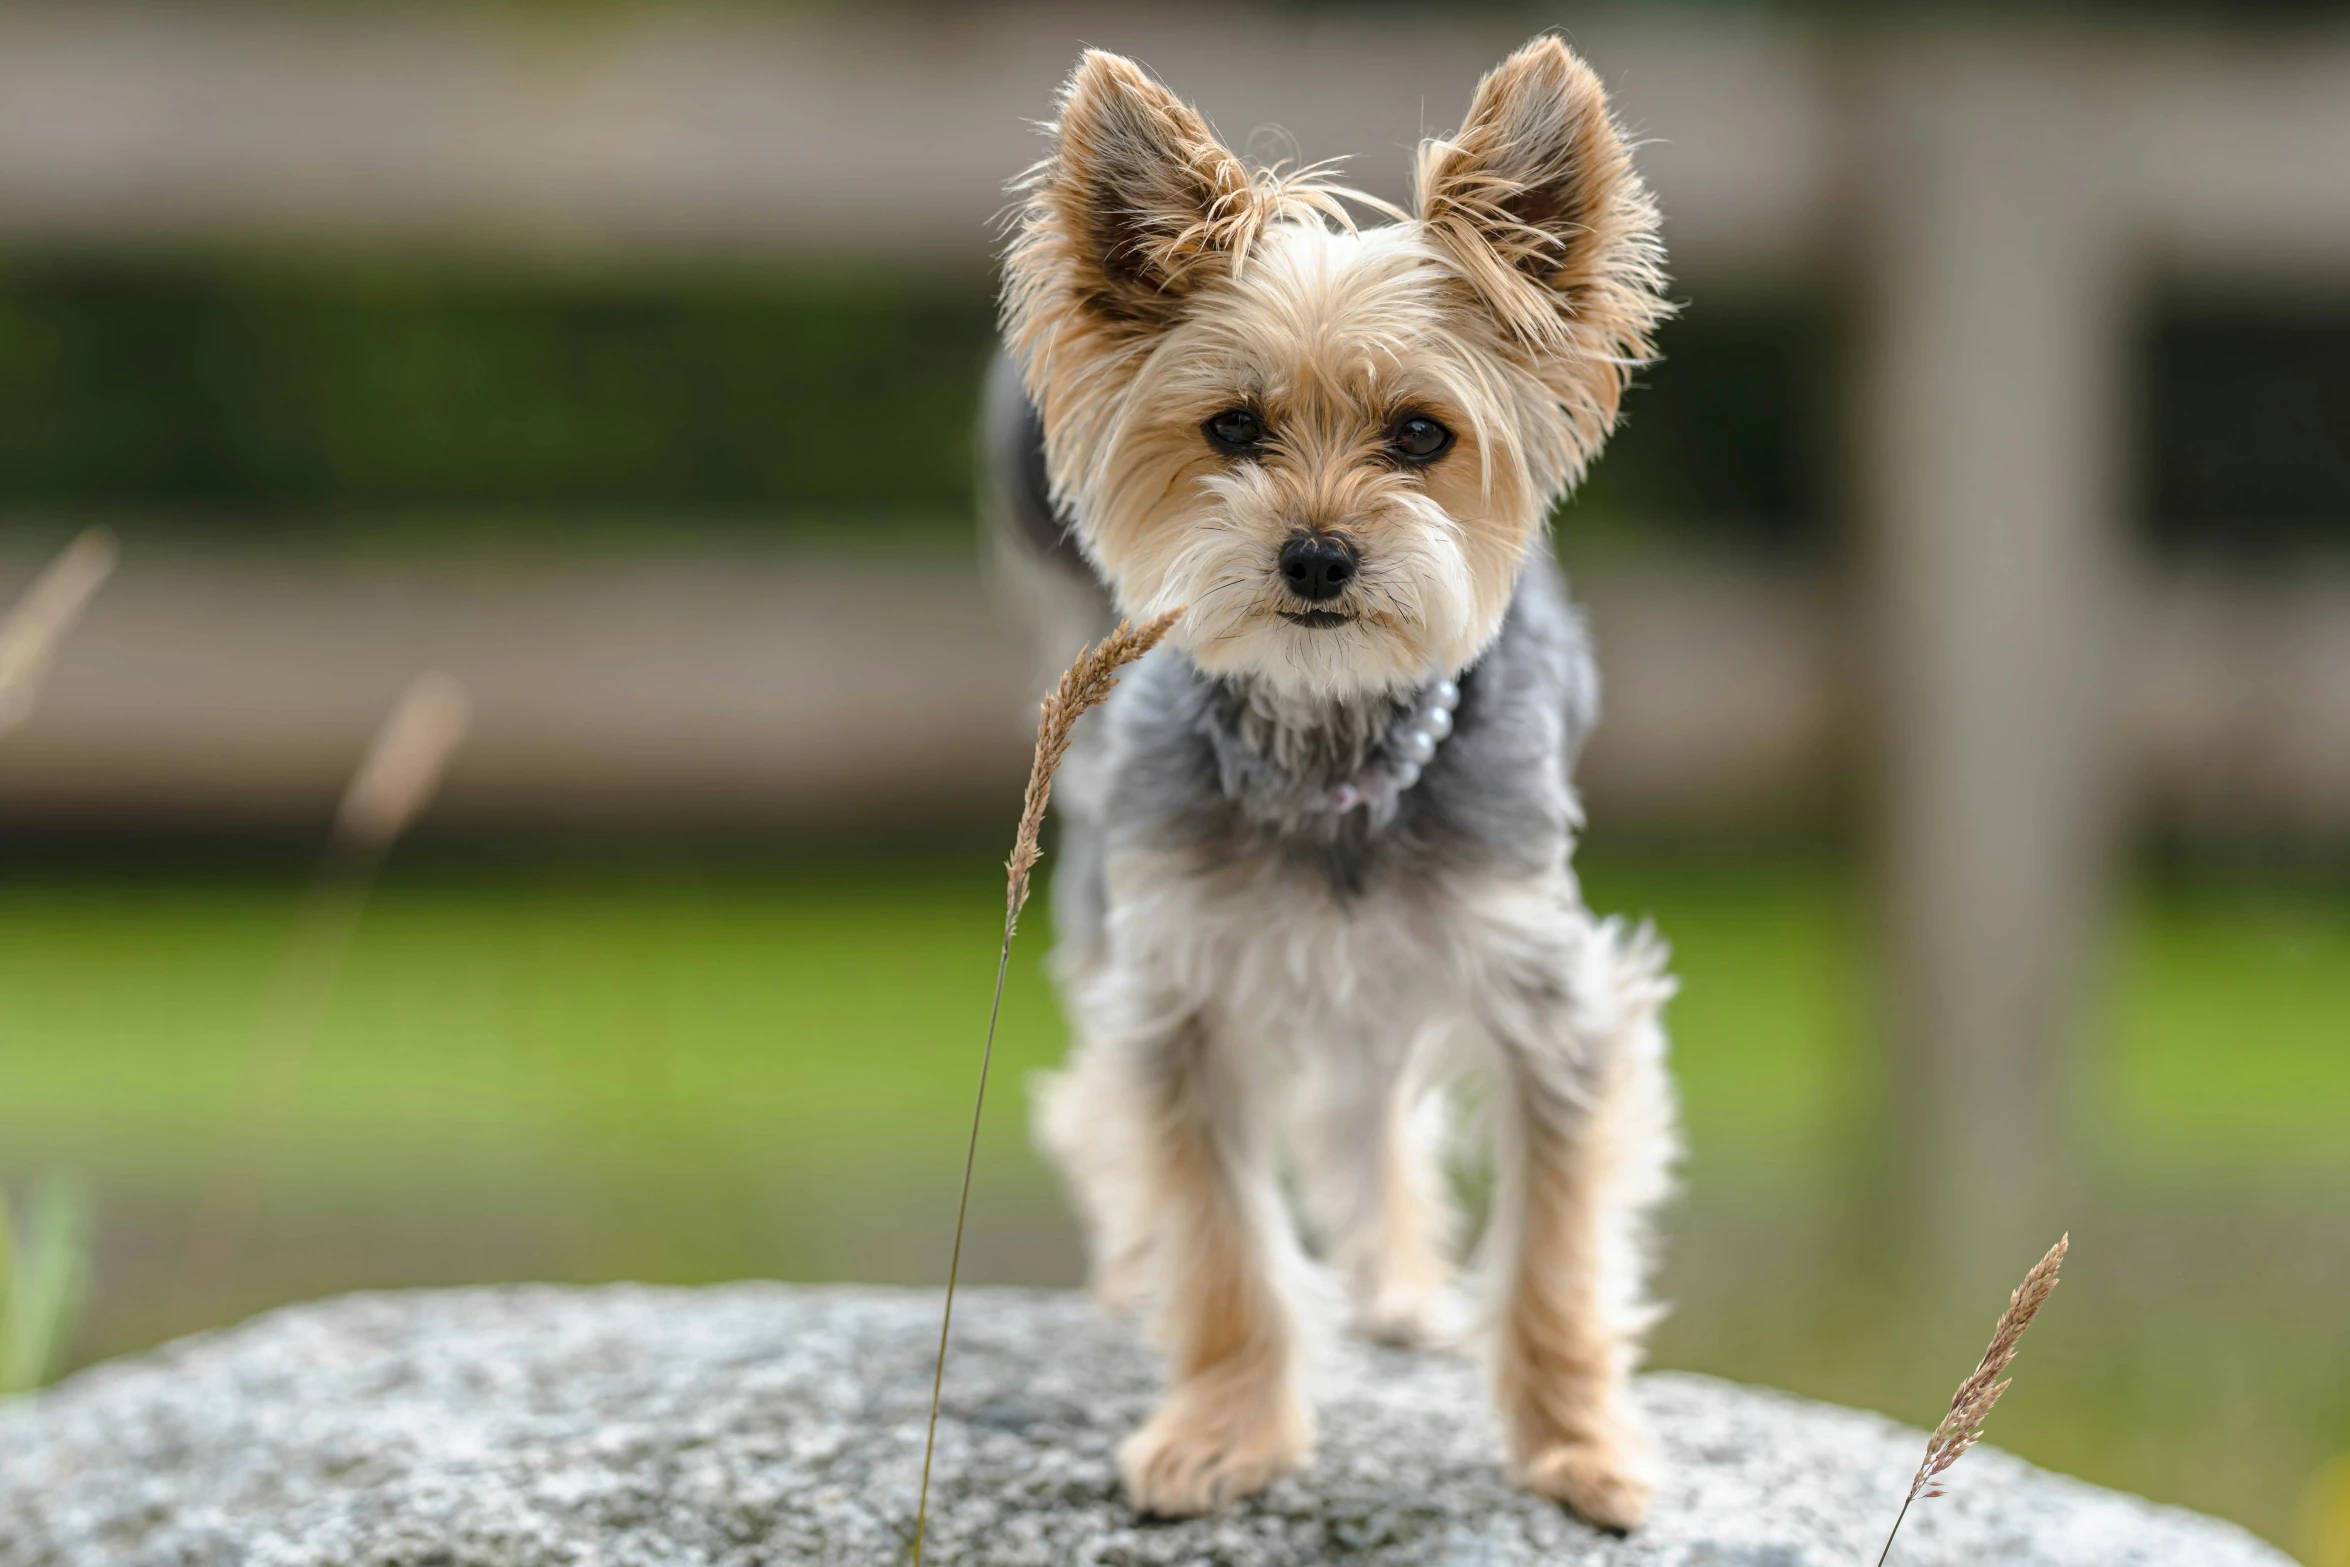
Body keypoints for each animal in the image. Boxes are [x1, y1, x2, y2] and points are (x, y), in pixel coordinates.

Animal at [982, 33, 1682, 1531]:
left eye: (1420, 436)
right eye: (1232, 429)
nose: (1313, 554)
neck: (1326, 749)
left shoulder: (1546, 994)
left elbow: (1555, 1244)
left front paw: (1574, 1446)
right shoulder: (1177, 997)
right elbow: (1222, 1240)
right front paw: (1221, 1431)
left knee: (1371, 1118)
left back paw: (1403, 1291)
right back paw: (1137, 1269)